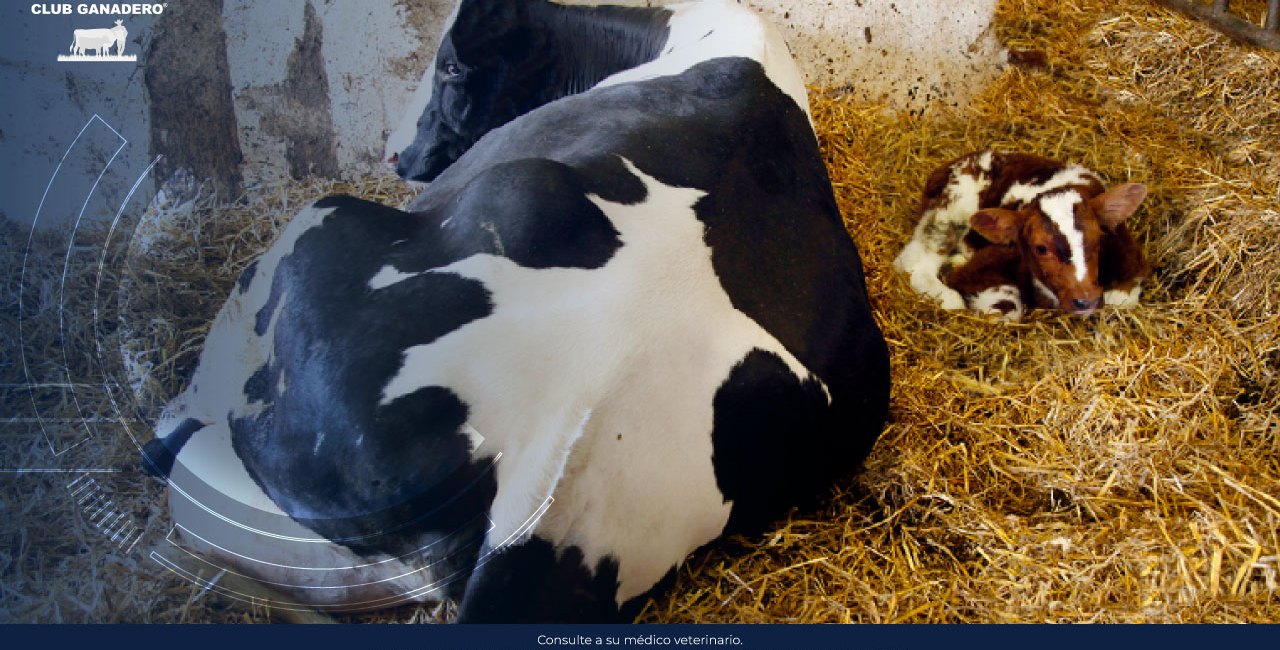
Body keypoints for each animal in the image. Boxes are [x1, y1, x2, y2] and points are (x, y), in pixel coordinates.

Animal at [890, 147, 1152, 319]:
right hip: (950, 212)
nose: (1085, 299)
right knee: (914, 264)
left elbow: (1122, 299)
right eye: (1040, 248)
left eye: (1098, 239)